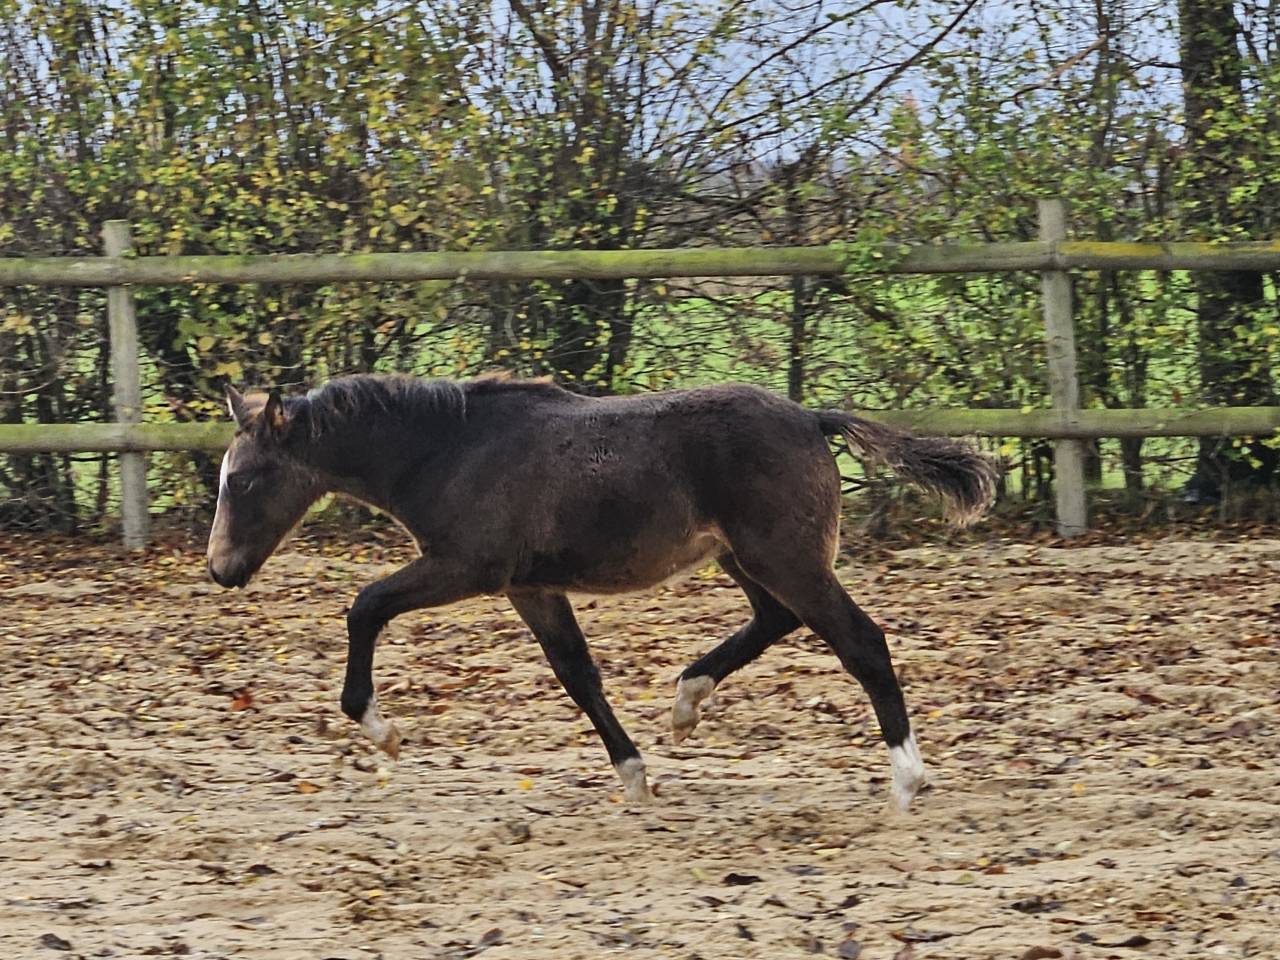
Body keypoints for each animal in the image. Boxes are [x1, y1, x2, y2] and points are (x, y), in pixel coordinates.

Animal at [206, 373, 997, 810]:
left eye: (242, 479)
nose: (221, 569)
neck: (450, 449)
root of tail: (811, 417)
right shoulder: (529, 587)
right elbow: (578, 675)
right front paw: (636, 775)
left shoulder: (467, 568)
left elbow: (364, 605)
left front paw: (383, 731)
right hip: (751, 559)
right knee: (776, 619)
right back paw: (686, 702)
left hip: (785, 557)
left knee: (860, 640)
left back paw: (907, 779)